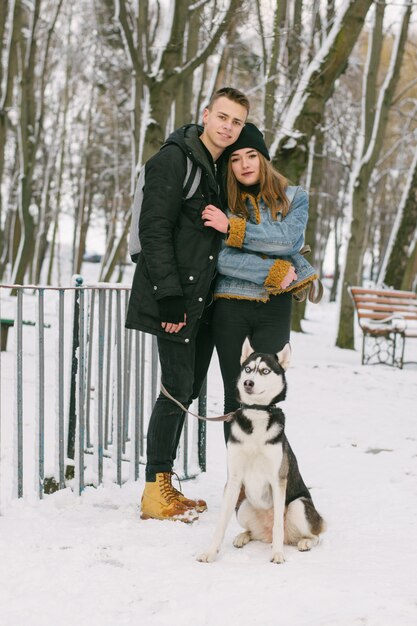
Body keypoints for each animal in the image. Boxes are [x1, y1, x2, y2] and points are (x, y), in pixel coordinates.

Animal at [197, 338, 324, 564]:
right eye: (248, 369)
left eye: (265, 371)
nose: (248, 382)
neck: (257, 414)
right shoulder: (234, 480)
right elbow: (220, 525)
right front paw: (210, 552)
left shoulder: (278, 480)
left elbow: (278, 526)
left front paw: (277, 554)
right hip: (244, 506)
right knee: (254, 532)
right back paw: (243, 536)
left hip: (299, 506)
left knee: (315, 535)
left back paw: (305, 542)